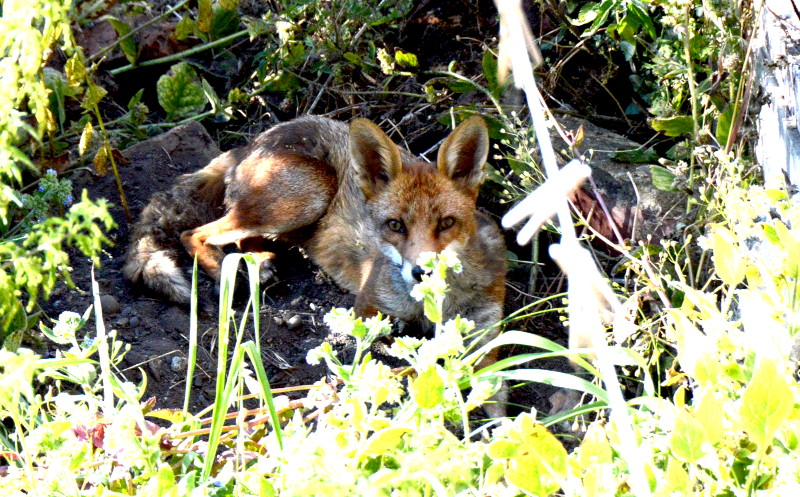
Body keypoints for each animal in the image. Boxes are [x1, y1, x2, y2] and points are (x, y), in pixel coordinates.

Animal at [123, 115, 507, 412]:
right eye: (395, 225)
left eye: (447, 223)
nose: (421, 271)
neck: (432, 307)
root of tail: (251, 142)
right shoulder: (368, 306)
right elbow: (377, 351)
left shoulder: (487, 334)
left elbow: (498, 392)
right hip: (307, 195)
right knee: (194, 234)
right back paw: (228, 278)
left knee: (242, 241)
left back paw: (260, 265)